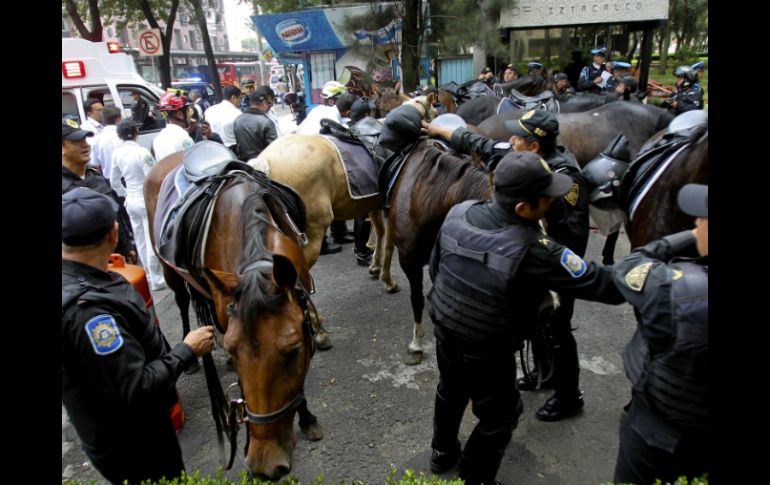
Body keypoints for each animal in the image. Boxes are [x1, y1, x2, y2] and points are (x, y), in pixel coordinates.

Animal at [145, 153, 320, 478]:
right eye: (237, 352)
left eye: (292, 351)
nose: (264, 465)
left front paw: (307, 418)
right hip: (171, 273)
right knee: (182, 302)